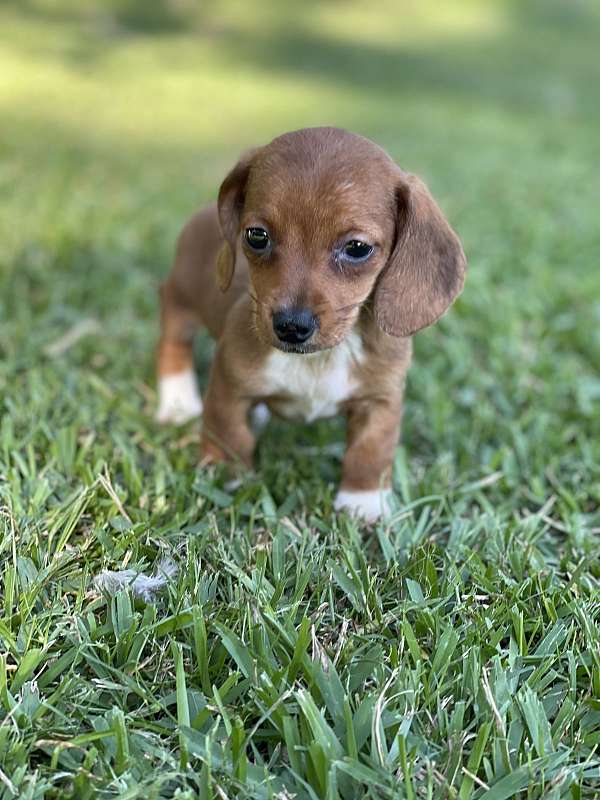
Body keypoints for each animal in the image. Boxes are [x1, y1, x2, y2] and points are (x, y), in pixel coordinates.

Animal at [157, 128, 466, 520]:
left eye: (357, 247)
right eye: (256, 235)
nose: (291, 326)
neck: (320, 359)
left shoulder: (381, 399)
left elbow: (370, 451)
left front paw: (363, 502)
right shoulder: (228, 385)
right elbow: (227, 433)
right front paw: (223, 479)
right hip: (180, 301)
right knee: (172, 341)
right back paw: (178, 402)